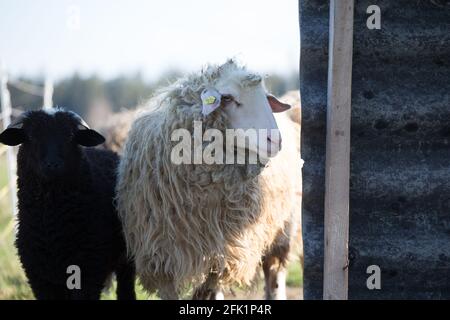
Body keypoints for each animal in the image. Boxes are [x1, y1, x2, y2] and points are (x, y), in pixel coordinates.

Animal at [0, 109, 135, 300]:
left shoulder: (88, 271)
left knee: (126, 285)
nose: (53, 164)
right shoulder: (39, 276)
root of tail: (108, 152)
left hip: (126, 253)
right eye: (31, 136)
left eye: (70, 136)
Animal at [116, 60, 302, 300]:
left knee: (274, 272)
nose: (275, 140)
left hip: (283, 228)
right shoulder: (162, 257)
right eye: (228, 98)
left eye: (265, 98)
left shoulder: (222, 254)